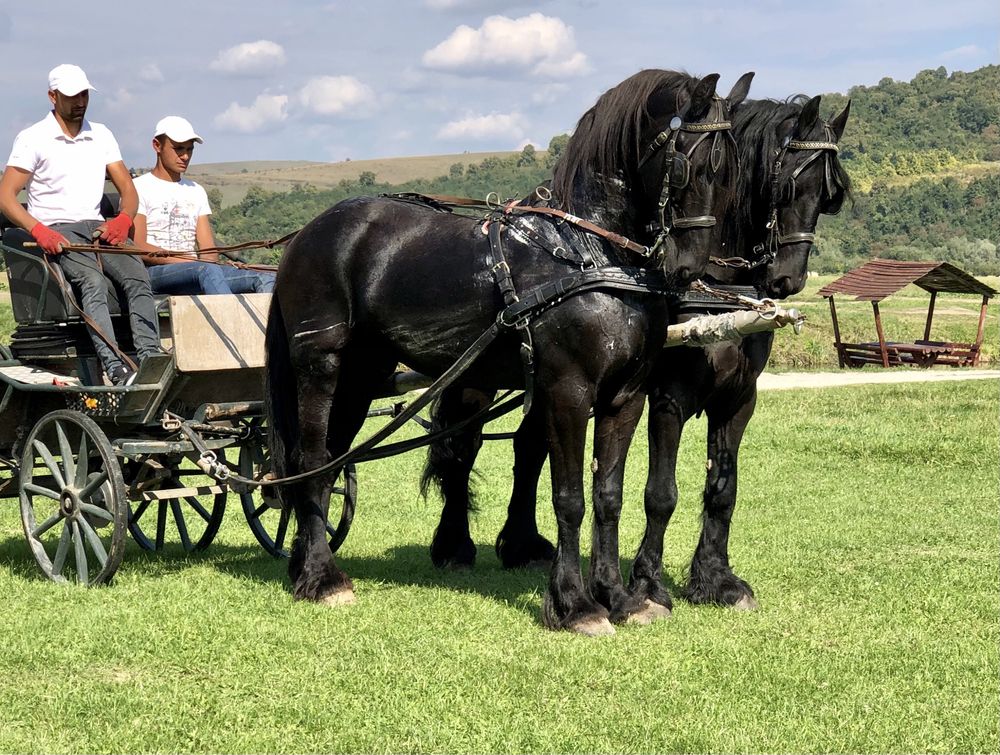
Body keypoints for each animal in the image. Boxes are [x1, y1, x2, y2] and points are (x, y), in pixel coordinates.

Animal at [266, 72, 752, 636]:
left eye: (734, 171)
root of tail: (305, 235)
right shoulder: (568, 393)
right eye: (689, 165)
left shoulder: (625, 397)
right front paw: (575, 605)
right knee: (313, 459)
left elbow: (609, 496)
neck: (587, 253)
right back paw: (324, 578)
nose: (691, 270)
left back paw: (307, 567)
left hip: (361, 376)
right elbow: (569, 499)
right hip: (321, 366)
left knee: (328, 460)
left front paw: (620, 597)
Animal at [422, 94, 852, 616]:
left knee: (529, 447)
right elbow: (660, 493)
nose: (787, 280)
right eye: (787, 182)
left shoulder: (739, 399)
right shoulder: (667, 398)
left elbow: (723, 490)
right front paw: (648, 583)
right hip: (477, 380)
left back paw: (523, 545)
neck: (713, 293)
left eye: (828, 196)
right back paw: (453, 546)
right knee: (462, 450)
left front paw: (716, 579)